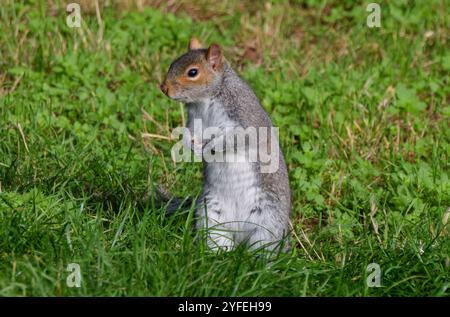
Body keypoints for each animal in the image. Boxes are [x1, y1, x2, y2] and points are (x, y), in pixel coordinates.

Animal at [159, 37, 292, 249]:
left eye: (193, 72)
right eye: (172, 63)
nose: (163, 88)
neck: (205, 100)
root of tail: (240, 234)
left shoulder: (245, 116)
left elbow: (237, 138)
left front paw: (210, 147)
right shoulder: (194, 121)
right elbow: (188, 134)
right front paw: (191, 146)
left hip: (269, 222)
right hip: (210, 216)